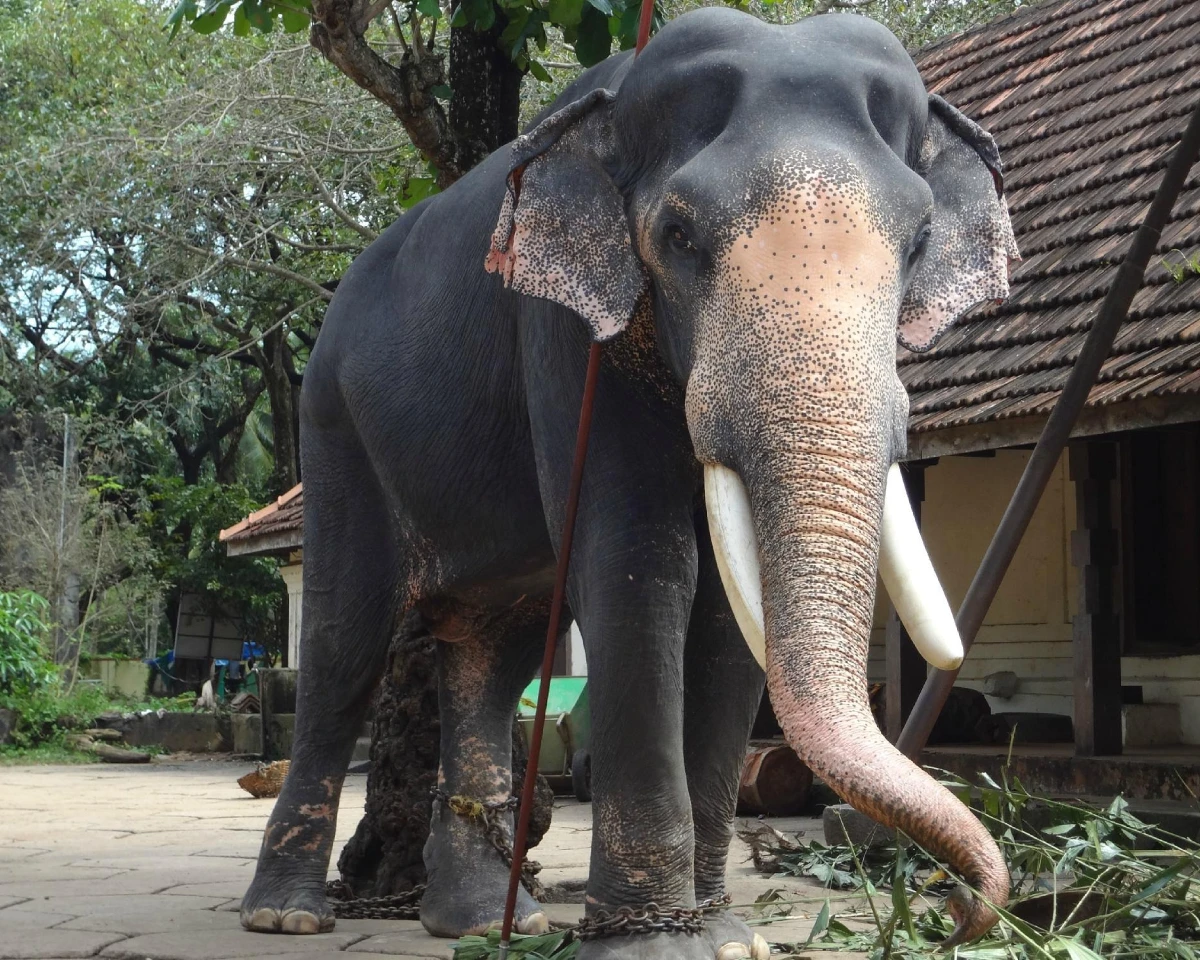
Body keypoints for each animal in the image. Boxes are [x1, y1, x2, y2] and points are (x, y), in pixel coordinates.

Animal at [240, 7, 1020, 958]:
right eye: (679, 237)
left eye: (916, 244)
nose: (955, 910)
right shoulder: (565, 338)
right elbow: (638, 566)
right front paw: (654, 942)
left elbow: (725, 615)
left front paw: (725, 936)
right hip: (334, 428)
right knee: (343, 642)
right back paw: (287, 914)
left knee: (493, 650)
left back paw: (487, 920)